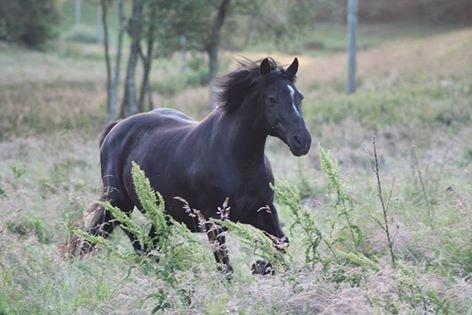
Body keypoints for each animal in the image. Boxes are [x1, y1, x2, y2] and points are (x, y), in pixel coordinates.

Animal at [76, 58, 312, 276]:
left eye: (299, 97)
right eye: (271, 99)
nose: (302, 141)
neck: (239, 162)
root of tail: (118, 126)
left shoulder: (263, 211)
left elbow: (282, 242)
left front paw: (261, 266)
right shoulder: (213, 221)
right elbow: (225, 268)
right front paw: (258, 267)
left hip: (162, 215)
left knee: (148, 246)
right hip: (119, 201)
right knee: (121, 232)